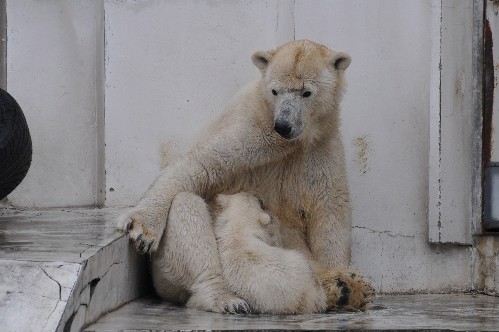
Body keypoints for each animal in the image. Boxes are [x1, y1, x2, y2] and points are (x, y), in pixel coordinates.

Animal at [117, 39, 376, 314]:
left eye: (306, 92)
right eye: (275, 91)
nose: (283, 125)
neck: (293, 141)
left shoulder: (321, 149)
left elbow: (329, 208)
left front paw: (344, 279)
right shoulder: (253, 134)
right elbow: (200, 166)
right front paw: (141, 228)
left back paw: (348, 289)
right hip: (167, 273)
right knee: (186, 207)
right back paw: (223, 298)